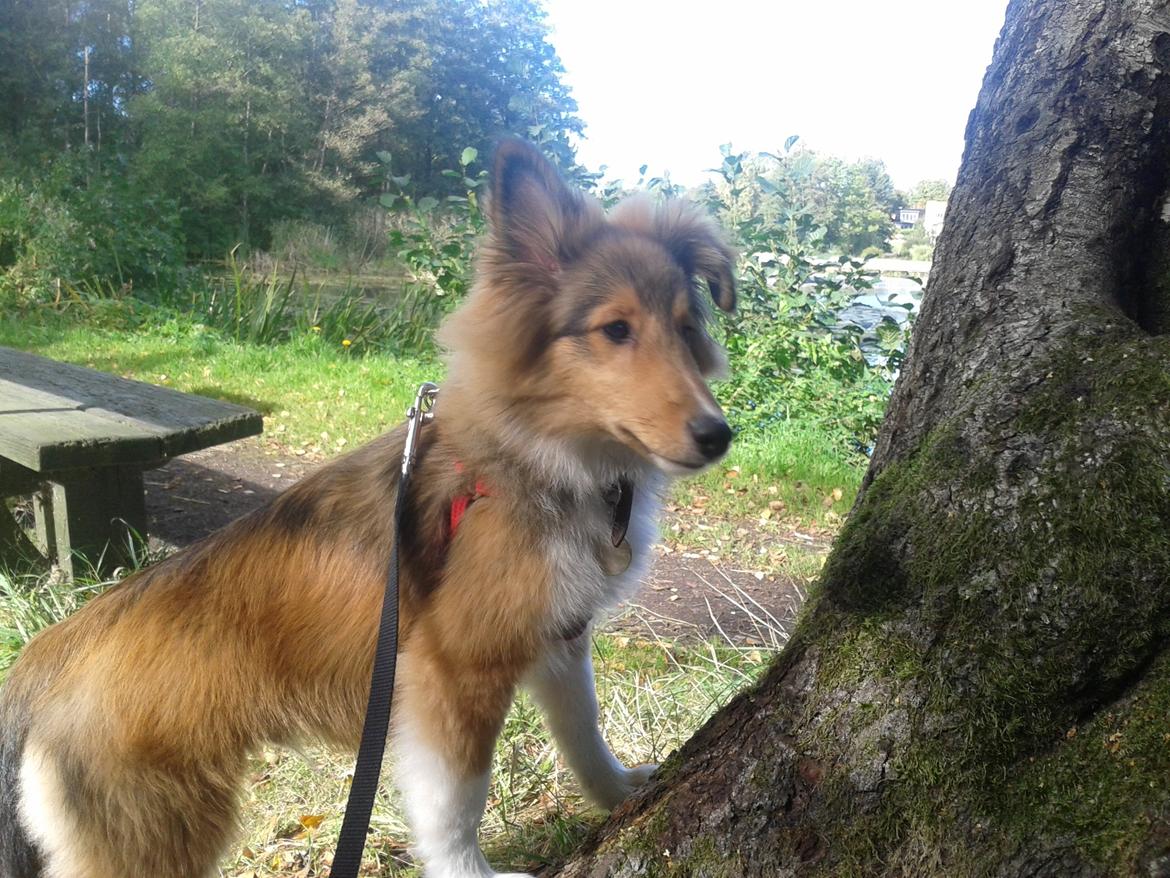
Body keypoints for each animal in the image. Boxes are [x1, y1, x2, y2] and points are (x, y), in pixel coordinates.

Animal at [0, 139, 730, 878]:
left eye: (686, 327)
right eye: (615, 329)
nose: (717, 435)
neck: (529, 462)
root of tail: (39, 667)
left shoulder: (559, 637)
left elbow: (583, 731)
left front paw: (621, 794)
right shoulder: (455, 674)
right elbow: (455, 802)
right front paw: (470, 872)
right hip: (152, 835)